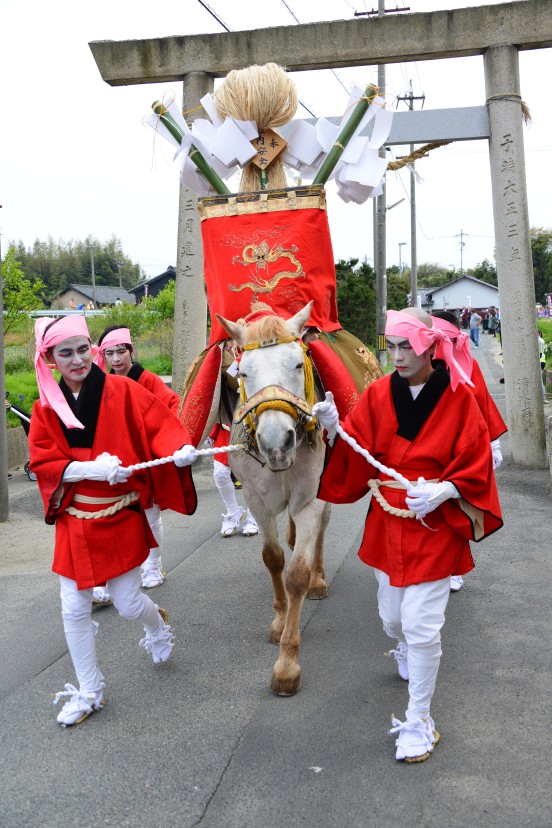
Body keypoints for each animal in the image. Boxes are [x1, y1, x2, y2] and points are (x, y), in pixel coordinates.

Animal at [215, 300, 328, 696]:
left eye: (297, 363)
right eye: (243, 372)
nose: (277, 442)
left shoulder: (311, 498)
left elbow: (296, 574)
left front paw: (287, 663)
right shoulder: (255, 499)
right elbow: (273, 558)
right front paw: (279, 621)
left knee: (321, 532)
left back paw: (319, 579)